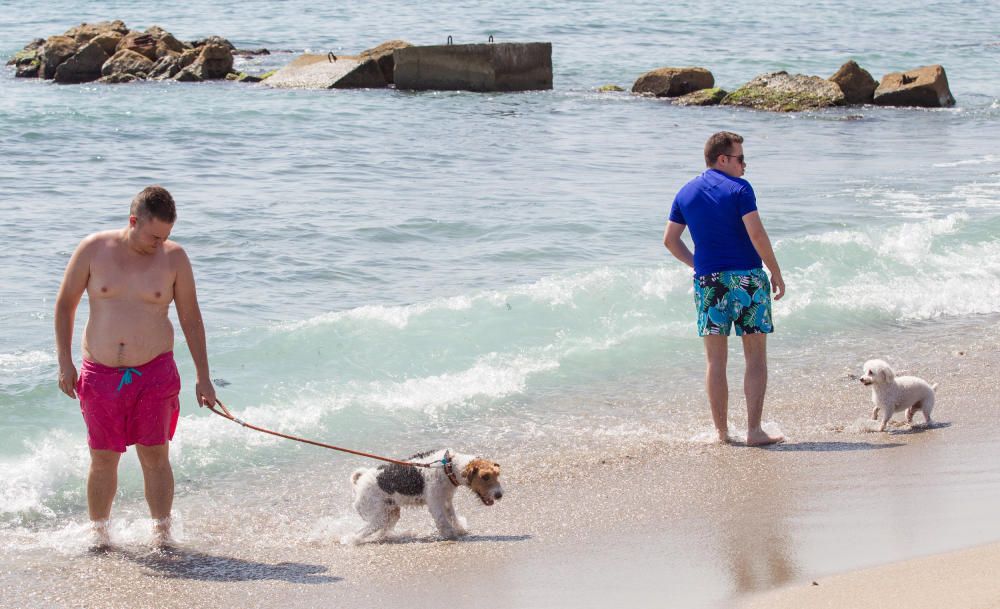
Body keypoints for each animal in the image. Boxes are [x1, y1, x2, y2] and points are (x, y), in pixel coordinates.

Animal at [348, 452, 504, 540]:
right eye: (485, 477)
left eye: (497, 474)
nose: (499, 495)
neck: (448, 467)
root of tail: (360, 482)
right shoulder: (435, 502)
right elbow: (443, 521)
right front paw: (450, 535)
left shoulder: (446, 501)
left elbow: (452, 517)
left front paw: (460, 530)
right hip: (379, 517)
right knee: (358, 533)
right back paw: (350, 540)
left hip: (391, 512)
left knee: (383, 531)